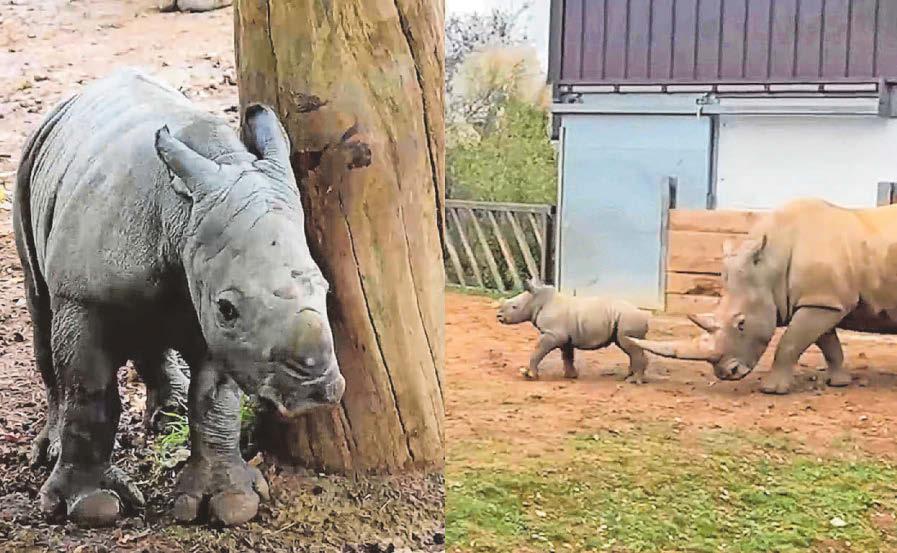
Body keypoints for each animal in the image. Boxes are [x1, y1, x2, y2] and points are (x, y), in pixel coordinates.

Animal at [13, 68, 345, 527]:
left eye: (327, 290)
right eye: (228, 308)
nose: (314, 391)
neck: (181, 216)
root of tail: (72, 100)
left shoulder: (217, 318)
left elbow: (214, 398)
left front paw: (230, 503)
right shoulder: (84, 298)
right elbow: (88, 392)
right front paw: (90, 507)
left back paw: (168, 414)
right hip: (29, 166)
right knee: (40, 310)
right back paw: (49, 450)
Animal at [496, 278, 650, 382]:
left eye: (514, 307)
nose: (499, 316)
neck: (539, 301)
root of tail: (645, 315)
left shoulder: (553, 334)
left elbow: (538, 351)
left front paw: (529, 375)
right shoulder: (564, 337)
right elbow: (567, 356)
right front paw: (571, 376)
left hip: (629, 318)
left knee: (631, 347)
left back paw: (633, 381)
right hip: (625, 319)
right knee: (629, 347)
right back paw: (628, 377)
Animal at [631, 198, 897, 395]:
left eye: (741, 324)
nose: (727, 374)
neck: (771, 265)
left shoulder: (822, 302)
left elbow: (790, 343)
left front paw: (772, 390)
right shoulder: (823, 300)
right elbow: (827, 343)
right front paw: (838, 382)